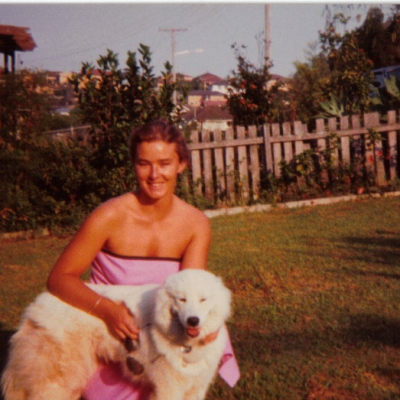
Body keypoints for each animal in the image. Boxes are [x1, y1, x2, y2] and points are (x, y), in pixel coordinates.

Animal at [0, 268, 231, 400]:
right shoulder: (168, 388)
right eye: (181, 300)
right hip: (57, 381)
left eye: (203, 299)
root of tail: (35, 307)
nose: (193, 320)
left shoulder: (196, 387)